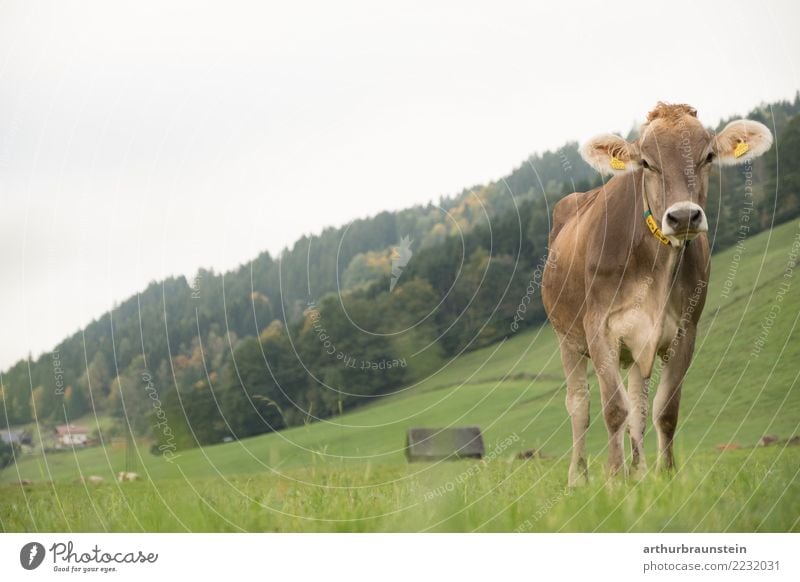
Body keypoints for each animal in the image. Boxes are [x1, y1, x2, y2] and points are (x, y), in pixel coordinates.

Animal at [540, 104, 772, 488]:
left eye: (708, 157)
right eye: (647, 163)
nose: (683, 216)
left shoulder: (684, 331)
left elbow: (664, 410)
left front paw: (665, 476)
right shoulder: (599, 328)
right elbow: (613, 408)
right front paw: (614, 480)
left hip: (636, 346)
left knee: (638, 405)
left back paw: (640, 472)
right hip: (566, 338)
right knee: (579, 405)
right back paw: (579, 477)